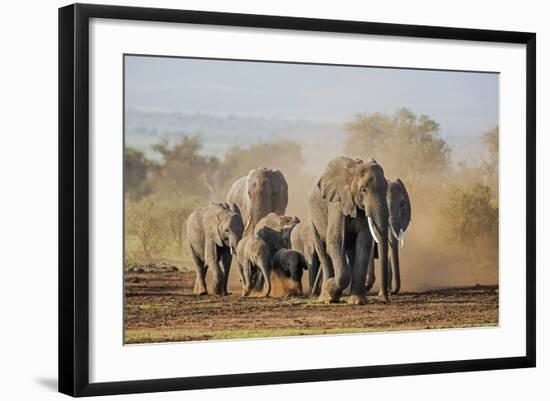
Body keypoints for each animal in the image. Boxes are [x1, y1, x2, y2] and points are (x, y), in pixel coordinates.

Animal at [310, 155, 392, 304]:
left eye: (386, 188)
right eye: (363, 189)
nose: (385, 300)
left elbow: (364, 243)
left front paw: (357, 302)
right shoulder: (336, 203)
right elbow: (335, 240)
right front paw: (331, 289)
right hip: (313, 219)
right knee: (323, 251)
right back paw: (325, 298)